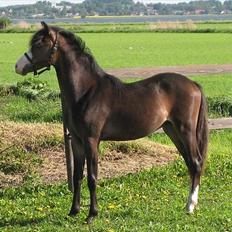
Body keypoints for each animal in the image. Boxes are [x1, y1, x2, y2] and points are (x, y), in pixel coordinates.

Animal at [15, 21, 208, 223]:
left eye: (39, 44)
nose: (17, 66)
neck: (87, 92)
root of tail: (193, 84)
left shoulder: (91, 140)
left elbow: (92, 177)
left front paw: (91, 214)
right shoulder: (76, 141)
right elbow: (77, 176)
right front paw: (74, 211)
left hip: (185, 130)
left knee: (196, 162)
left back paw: (190, 206)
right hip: (172, 130)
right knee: (190, 163)